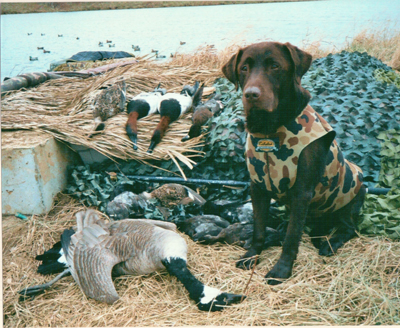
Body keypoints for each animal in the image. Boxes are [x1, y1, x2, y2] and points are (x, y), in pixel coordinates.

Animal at [222, 41, 366, 284]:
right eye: (244, 68)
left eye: (275, 66)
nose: (251, 94)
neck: (270, 130)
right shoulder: (257, 187)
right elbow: (259, 228)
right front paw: (251, 255)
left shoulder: (302, 192)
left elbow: (292, 237)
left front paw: (281, 270)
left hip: (354, 195)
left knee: (349, 228)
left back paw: (329, 244)